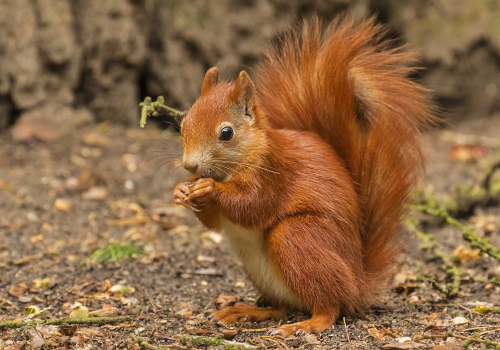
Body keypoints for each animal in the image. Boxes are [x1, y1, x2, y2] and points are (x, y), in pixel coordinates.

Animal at [172, 17, 434, 336]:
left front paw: (208, 188)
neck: (231, 169)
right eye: (183, 124)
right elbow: (215, 223)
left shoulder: (274, 173)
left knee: (329, 307)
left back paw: (305, 324)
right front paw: (181, 191)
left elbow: (254, 205)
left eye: (226, 133)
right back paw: (245, 311)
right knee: (283, 306)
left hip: (297, 237)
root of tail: (358, 284)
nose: (190, 166)